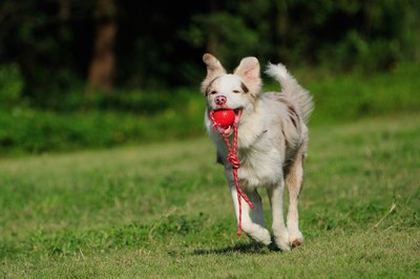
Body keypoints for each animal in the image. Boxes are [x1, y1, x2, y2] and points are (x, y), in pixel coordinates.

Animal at [202, 53, 314, 252]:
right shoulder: (236, 182)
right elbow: (244, 221)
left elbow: (277, 218)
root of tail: (285, 97)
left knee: (293, 203)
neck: (243, 139)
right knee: (258, 202)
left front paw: (283, 241)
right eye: (212, 92)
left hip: (296, 167)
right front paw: (261, 235)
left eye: (236, 91)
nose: (220, 99)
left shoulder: (275, 181)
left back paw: (294, 236)